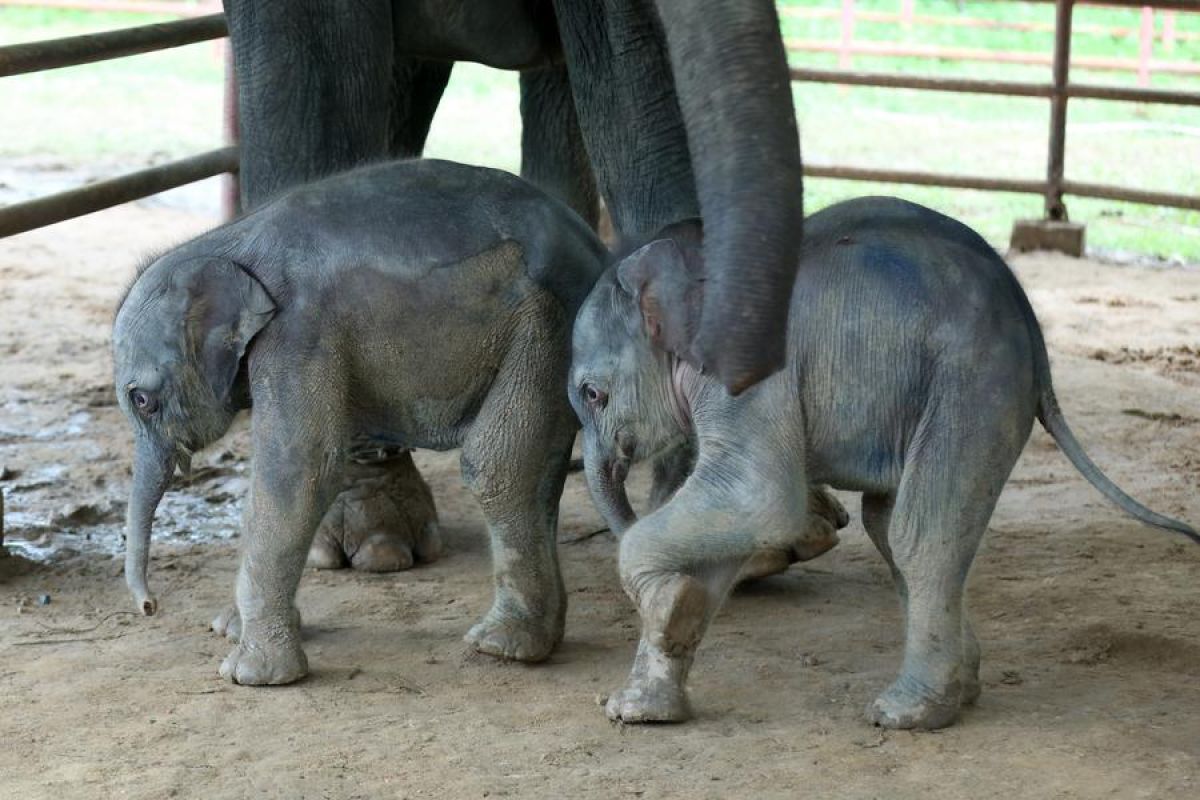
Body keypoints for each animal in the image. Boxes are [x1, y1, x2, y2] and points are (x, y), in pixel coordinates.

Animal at [113, 159, 609, 686]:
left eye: (142, 400)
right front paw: (229, 629)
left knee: (497, 467)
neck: (223, 242)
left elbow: (299, 471)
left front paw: (250, 674)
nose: (149, 606)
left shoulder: (298, 335)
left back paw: (501, 646)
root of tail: (597, 250)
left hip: (548, 325)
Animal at [573, 196, 1200, 729]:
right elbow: (733, 519)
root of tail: (1034, 331)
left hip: (973, 384)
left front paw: (668, 609)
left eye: (592, 394)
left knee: (923, 534)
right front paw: (642, 701)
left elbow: (756, 497)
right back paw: (961, 688)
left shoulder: (750, 372)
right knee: (888, 524)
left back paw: (907, 714)